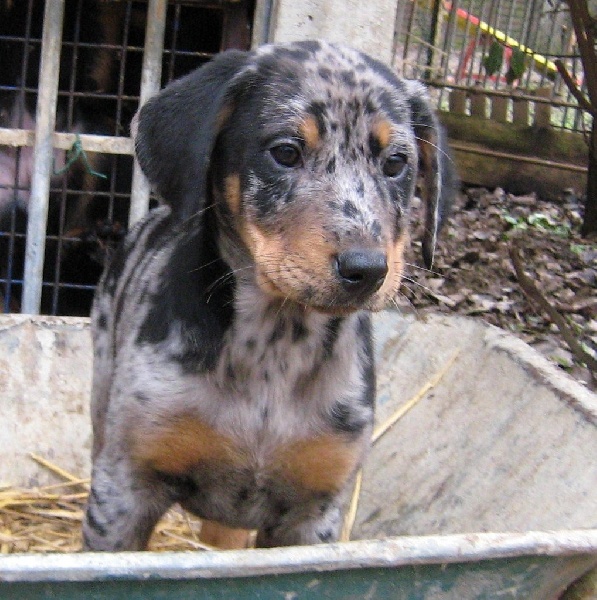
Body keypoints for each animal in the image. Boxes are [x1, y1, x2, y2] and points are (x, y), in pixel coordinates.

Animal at [82, 40, 456, 551]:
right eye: (285, 152)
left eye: (397, 164)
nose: (367, 270)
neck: (275, 348)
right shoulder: (126, 487)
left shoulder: (314, 509)